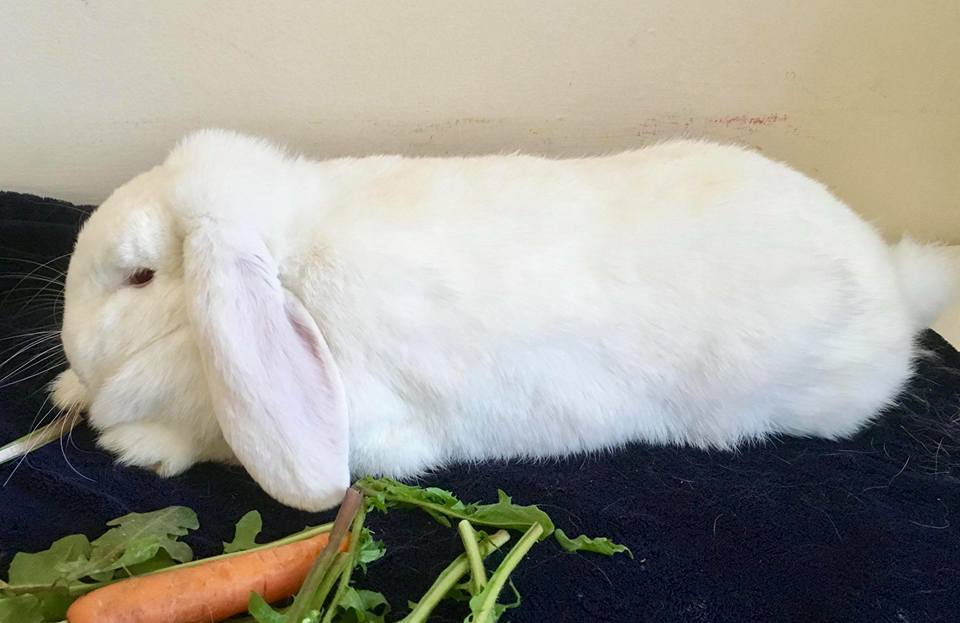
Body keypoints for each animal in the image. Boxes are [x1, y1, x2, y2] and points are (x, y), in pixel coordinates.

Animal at [50, 129, 957, 512]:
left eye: (139, 275)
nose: (70, 342)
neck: (291, 260)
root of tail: (895, 277)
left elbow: (224, 448)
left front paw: (136, 443)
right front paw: (69, 388)